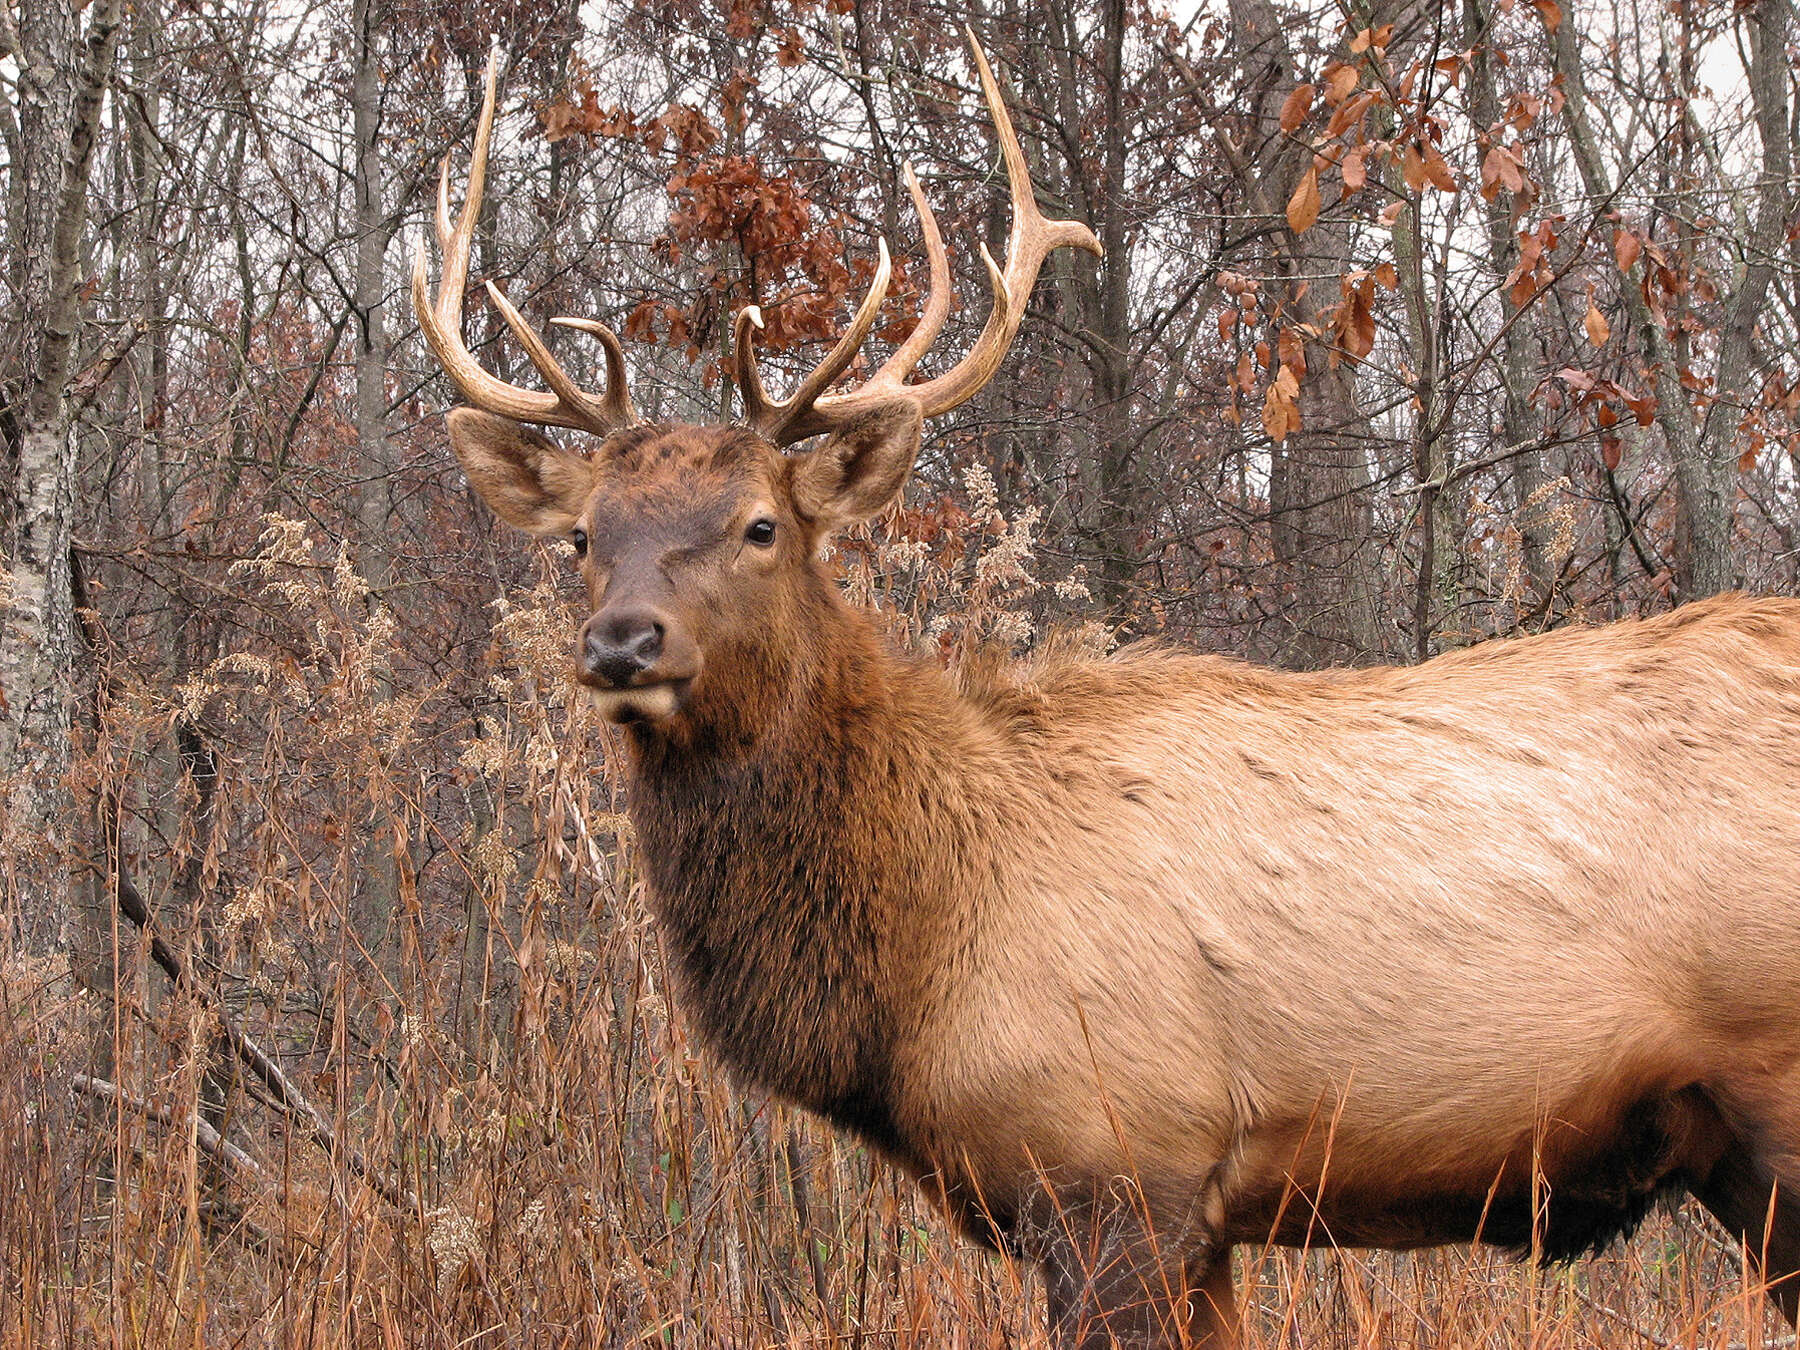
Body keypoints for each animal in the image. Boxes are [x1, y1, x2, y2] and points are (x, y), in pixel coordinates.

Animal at [414, 42, 1800, 1350]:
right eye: (583, 535)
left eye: (762, 524)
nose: (622, 643)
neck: (921, 952)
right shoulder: (1196, 1218)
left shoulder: (1114, 1160)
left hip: (1777, 1095)